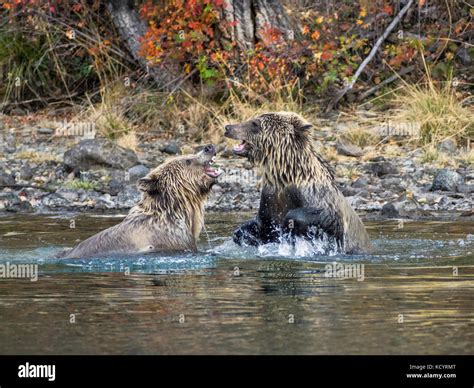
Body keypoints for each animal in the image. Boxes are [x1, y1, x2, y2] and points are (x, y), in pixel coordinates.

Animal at [224, 110, 372, 253]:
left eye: (255, 123)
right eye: (253, 120)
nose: (228, 127)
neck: (285, 176)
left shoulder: (317, 196)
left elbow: (327, 217)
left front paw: (289, 225)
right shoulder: (271, 198)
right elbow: (261, 226)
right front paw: (243, 234)